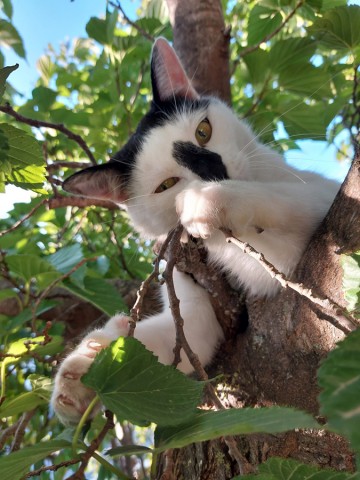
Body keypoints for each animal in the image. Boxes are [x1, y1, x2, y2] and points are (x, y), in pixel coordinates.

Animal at [50, 35, 338, 422]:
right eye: (166, 184)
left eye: (204, 131)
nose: (215, 172)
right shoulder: (196, 318)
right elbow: (173, 343)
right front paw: (87, 371)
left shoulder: (316, 207)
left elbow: (277, 198)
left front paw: (207, 200)